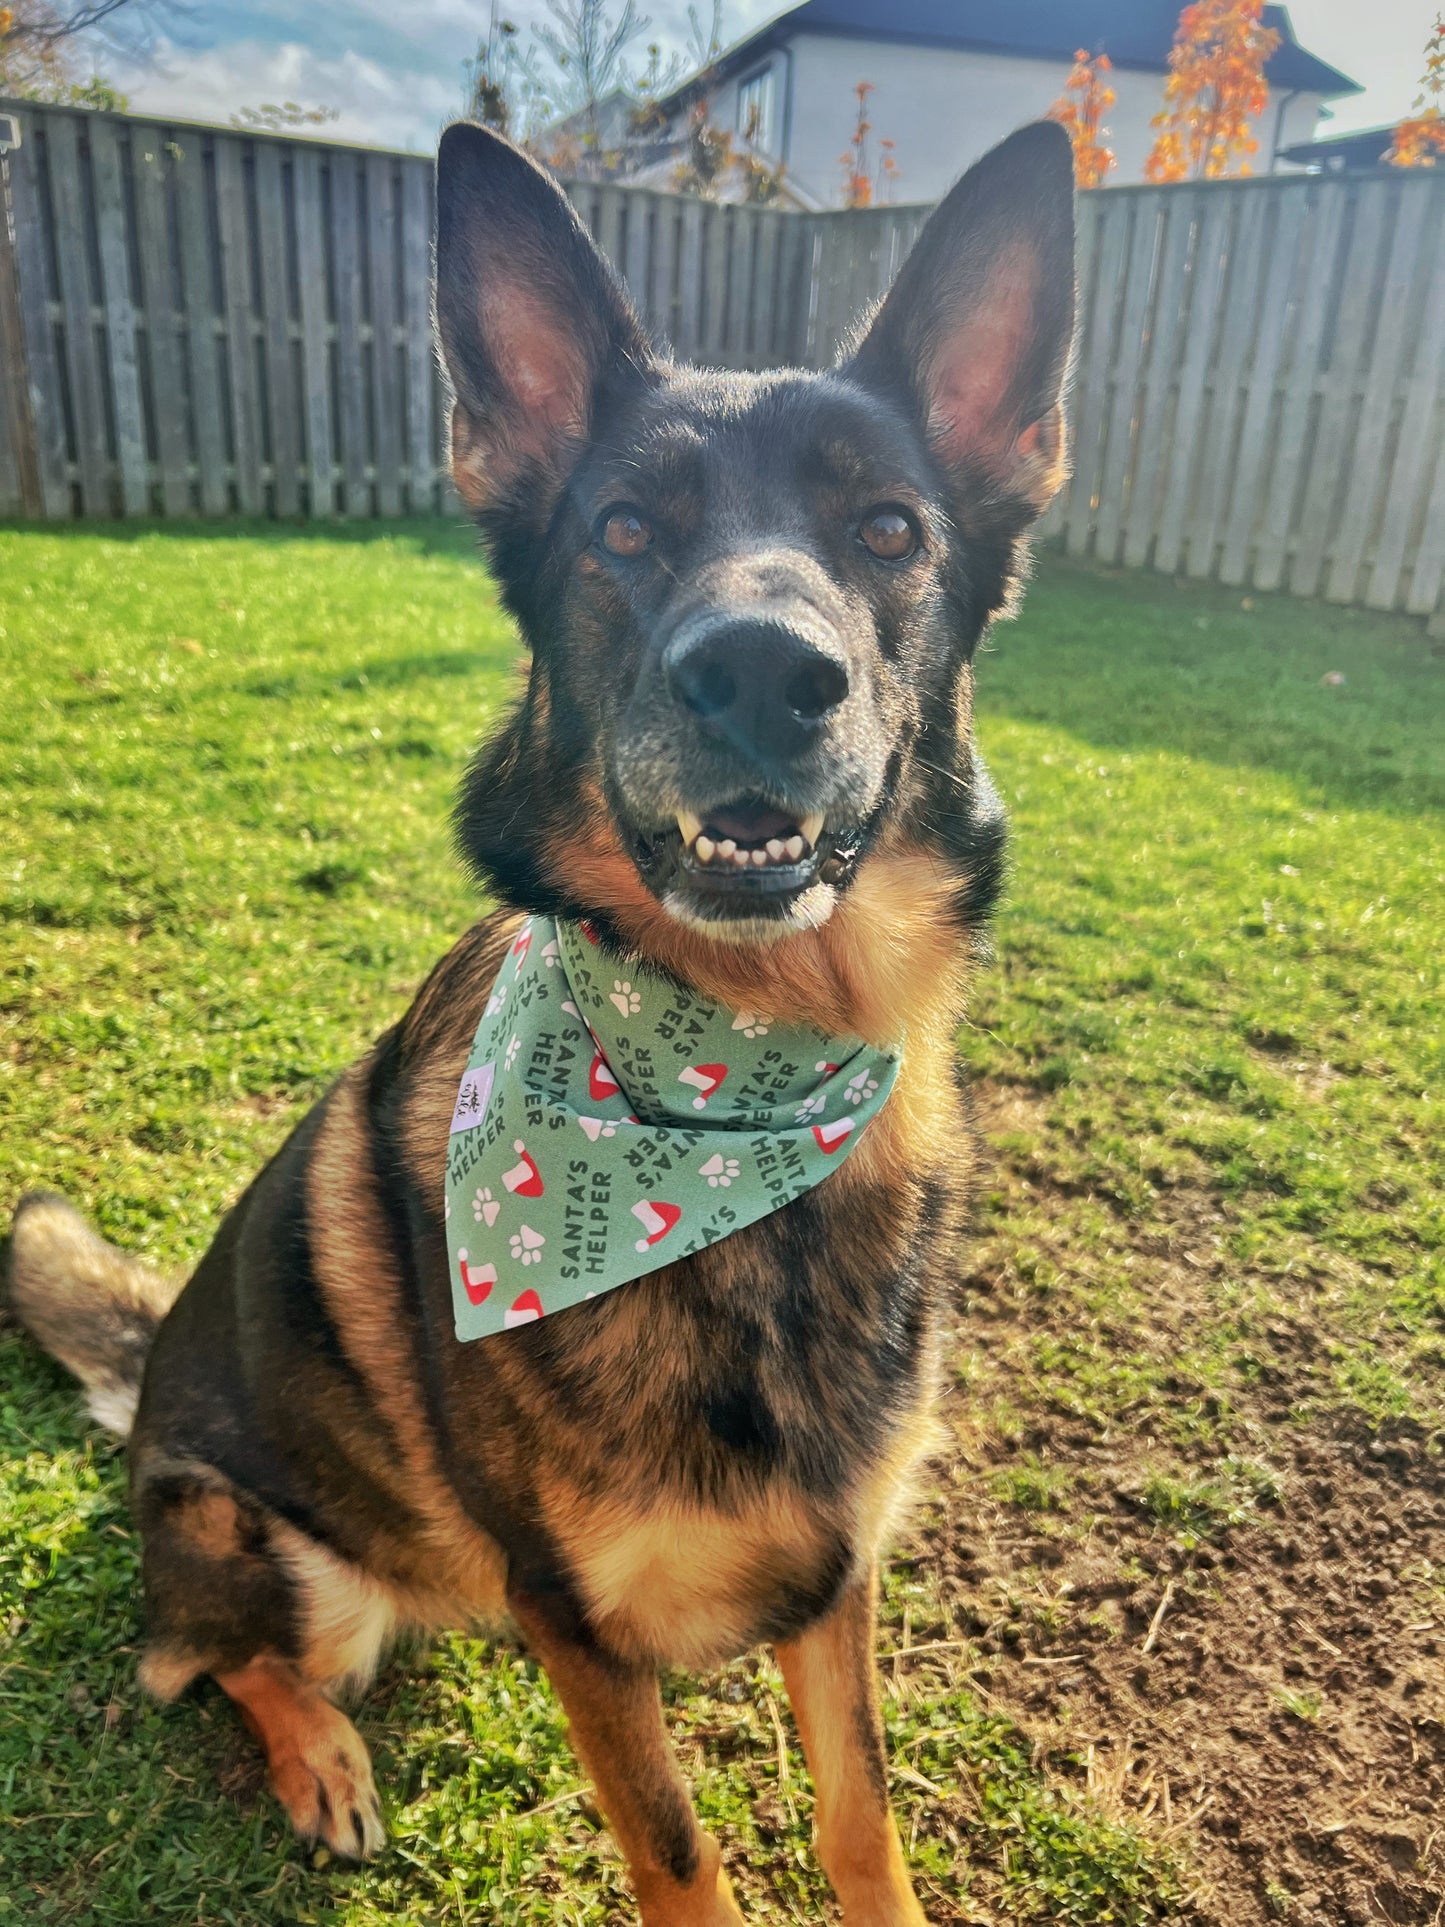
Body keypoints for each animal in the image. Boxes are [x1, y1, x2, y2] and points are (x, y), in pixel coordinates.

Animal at [11, 116, 1078, 1911]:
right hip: (272, 1549)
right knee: (208, 1657)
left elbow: (860, 1810)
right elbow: (680, 1853)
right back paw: (322, 1757)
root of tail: (149, 1380)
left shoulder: (838, 1569)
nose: (762, 673)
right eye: (628, 534)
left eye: (888, 533)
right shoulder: (579, 1622)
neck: (738, 1096)